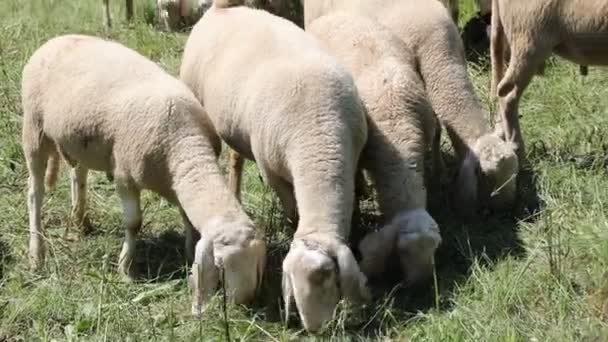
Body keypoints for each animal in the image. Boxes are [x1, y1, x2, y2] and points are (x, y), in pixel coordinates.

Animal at [22, 34, 266, 316]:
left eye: (257, 262)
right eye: (221, 265)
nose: (244, 305)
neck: (184, 146)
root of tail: (56, 39)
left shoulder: (175, 183)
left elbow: (187, 219)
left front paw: (187, 252)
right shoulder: (125, 176)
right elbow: (134, 222)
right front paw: (126, 269)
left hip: (77, 138)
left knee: (78, 174)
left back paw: (80, 220)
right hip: (33, 129)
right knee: (35, 193)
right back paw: (36, 253)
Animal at [178, 0, 372, 332]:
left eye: (332, 281)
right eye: (292, 284)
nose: (317, 330)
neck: (319, 138)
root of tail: (222, 8)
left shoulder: (354, 156)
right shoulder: (274, 175)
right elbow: (292, 210)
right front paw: (291, 223)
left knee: (235, 160)